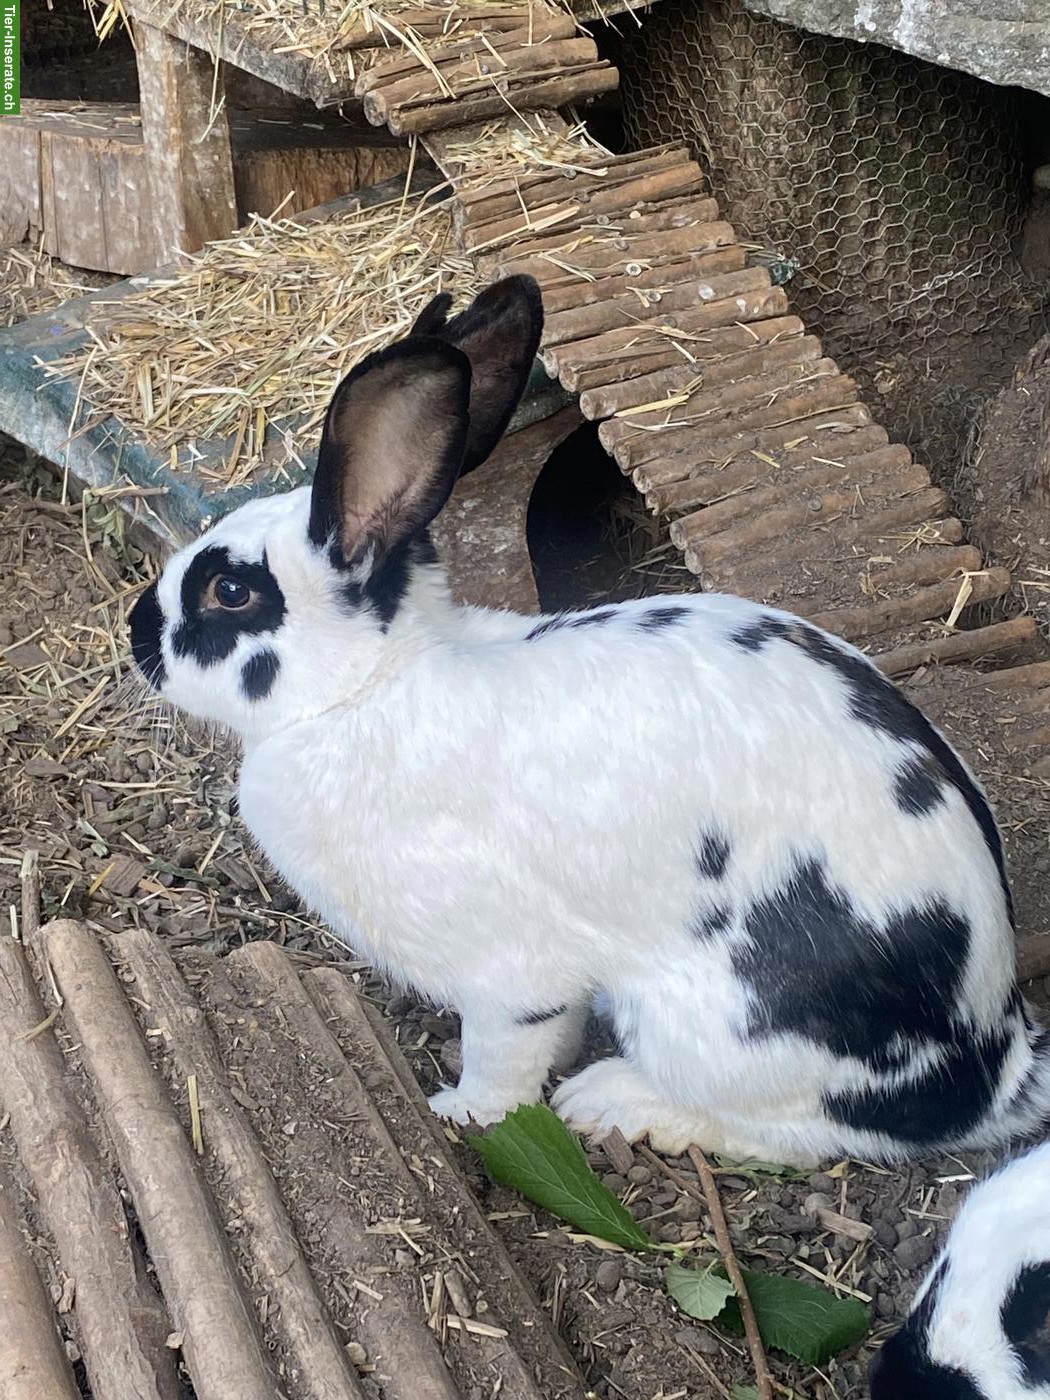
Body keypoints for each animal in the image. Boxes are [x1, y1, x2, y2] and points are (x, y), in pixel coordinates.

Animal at [129, 273, 1050, 1169]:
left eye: (230, 593)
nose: (137, 633)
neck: (372, 686)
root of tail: (996, 1058)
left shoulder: (508, 975)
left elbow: (506, 1059)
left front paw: (462, 1112)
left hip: (721, 1029)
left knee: (812, 1134)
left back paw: (614, 1103)